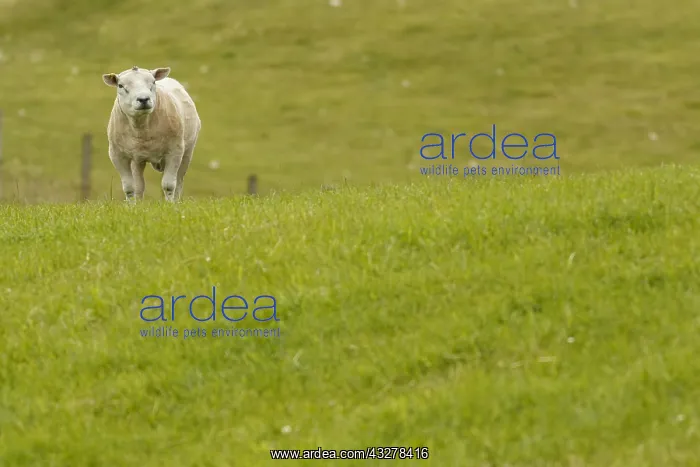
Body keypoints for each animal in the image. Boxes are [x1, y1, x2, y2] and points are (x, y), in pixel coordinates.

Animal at [102, 65, 201, 202]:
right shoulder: (116, 155)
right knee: (139, 185)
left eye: (153, 82)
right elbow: (129, 187)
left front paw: (169, 205)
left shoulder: (174, 151)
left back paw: (175, 202)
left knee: (179, 182)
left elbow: (169, 185)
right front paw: (132, 206)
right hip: (137, 160)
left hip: (187, 152)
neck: (142, 130)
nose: (143, 99)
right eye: (120, 85)